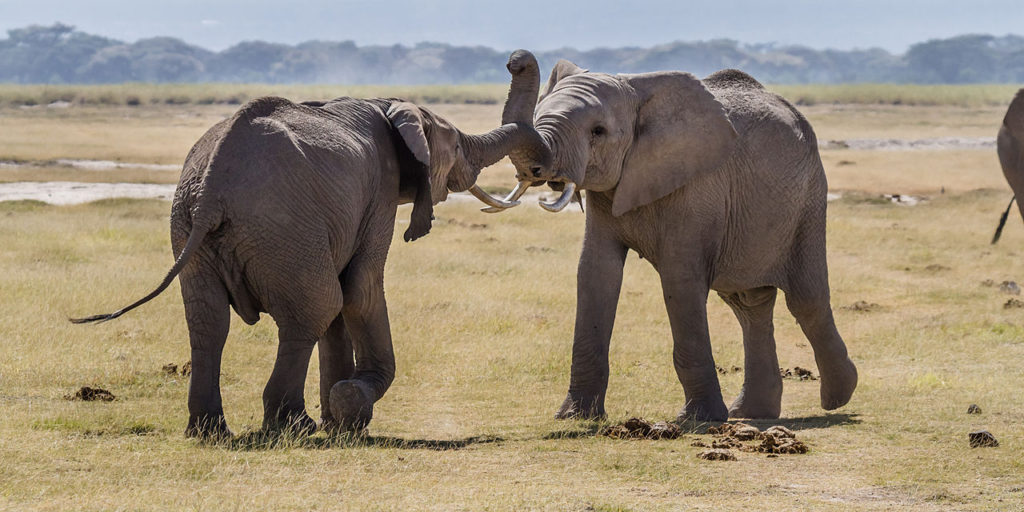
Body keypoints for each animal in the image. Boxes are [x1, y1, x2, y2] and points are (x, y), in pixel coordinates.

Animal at [74, 77, 540, 438]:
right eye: (457, 145)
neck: (389, 103)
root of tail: (211, 190)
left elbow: (342, 299)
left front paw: (340, 417)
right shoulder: (380, 192)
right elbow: (358, 291)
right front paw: (350, 408)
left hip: (191, 227)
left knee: (209, 322)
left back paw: (209, 431)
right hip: (281, 227)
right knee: (315, 307)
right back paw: (293, 426)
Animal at [487, 49, 856, 421]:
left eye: (598, 131)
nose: (515, 60)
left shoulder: (698, 184)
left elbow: (680, 279)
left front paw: (698, 420)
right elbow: (596, 273)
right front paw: (575, 417)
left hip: (808, 199)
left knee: (805, 299)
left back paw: (838, 397)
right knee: (748, 304)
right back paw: (751, 412)